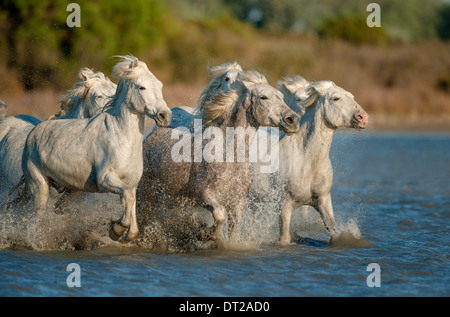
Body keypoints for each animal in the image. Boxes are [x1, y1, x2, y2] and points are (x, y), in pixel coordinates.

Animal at [19, 55, 171, 241]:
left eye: (160, 85)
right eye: (142, 87)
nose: (165, 116)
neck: (122, 137)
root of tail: (34, 132)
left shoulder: (130, 184)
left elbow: (131, 206)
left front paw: (120, 230)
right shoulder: (105, 180)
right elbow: (127, 199)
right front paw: (116, 229)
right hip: (39, 186)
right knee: (38, 217)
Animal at [250, 77, 370, 244]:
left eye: (352, 96)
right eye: (336, 98)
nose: (363, 117)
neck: (306, 161)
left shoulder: (323, 200)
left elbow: (334, 232)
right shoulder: (284, 205)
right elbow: (284, 238)